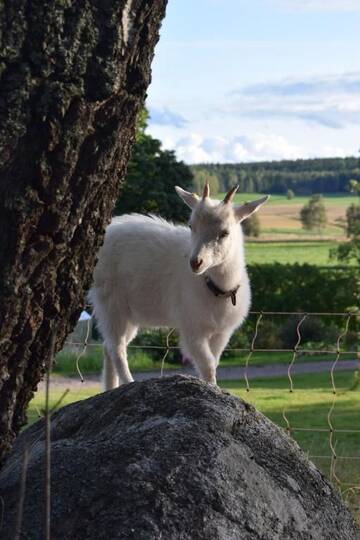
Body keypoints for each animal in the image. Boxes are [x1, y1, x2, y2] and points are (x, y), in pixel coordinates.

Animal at [90, 186, 268, 388]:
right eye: (191, 226)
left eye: (224, 232)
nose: (195, 262)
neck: (215, 288)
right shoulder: (191, 328)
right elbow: (207, 365)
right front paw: (211, 387)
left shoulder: (222, 332)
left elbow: (214, 361)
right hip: (111, 303)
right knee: (116, 347)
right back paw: (128, 382)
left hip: (129, 314)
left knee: (108, 345)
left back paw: (110, 387)